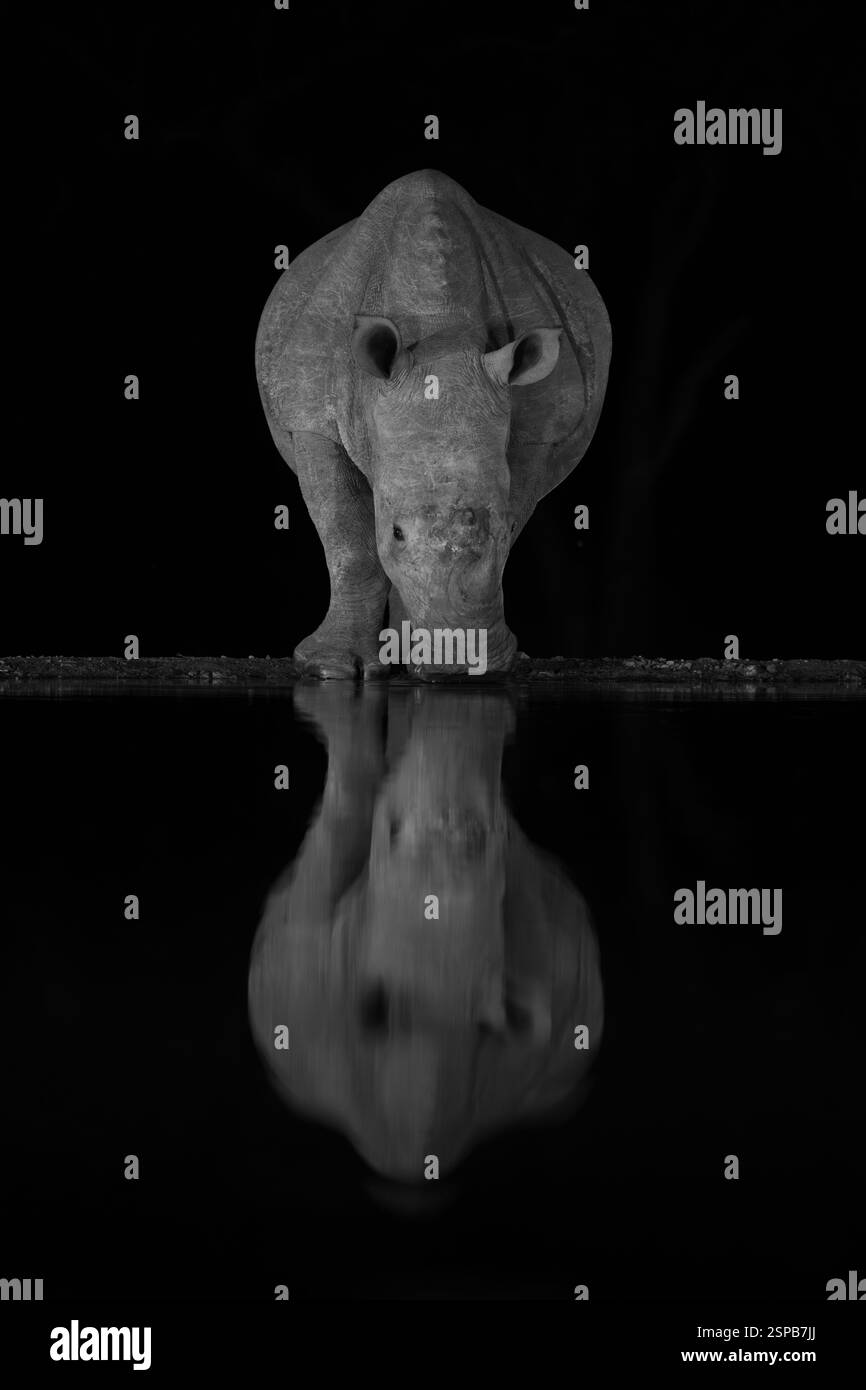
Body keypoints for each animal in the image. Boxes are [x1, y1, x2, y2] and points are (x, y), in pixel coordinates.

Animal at [255, 169, 611, 678]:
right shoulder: (309, 418)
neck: (440, 324)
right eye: (397, 533)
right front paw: (331, 668)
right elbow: (348, 536)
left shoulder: (539, 431)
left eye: (502, 528)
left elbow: (512, 506)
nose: (461, 665)